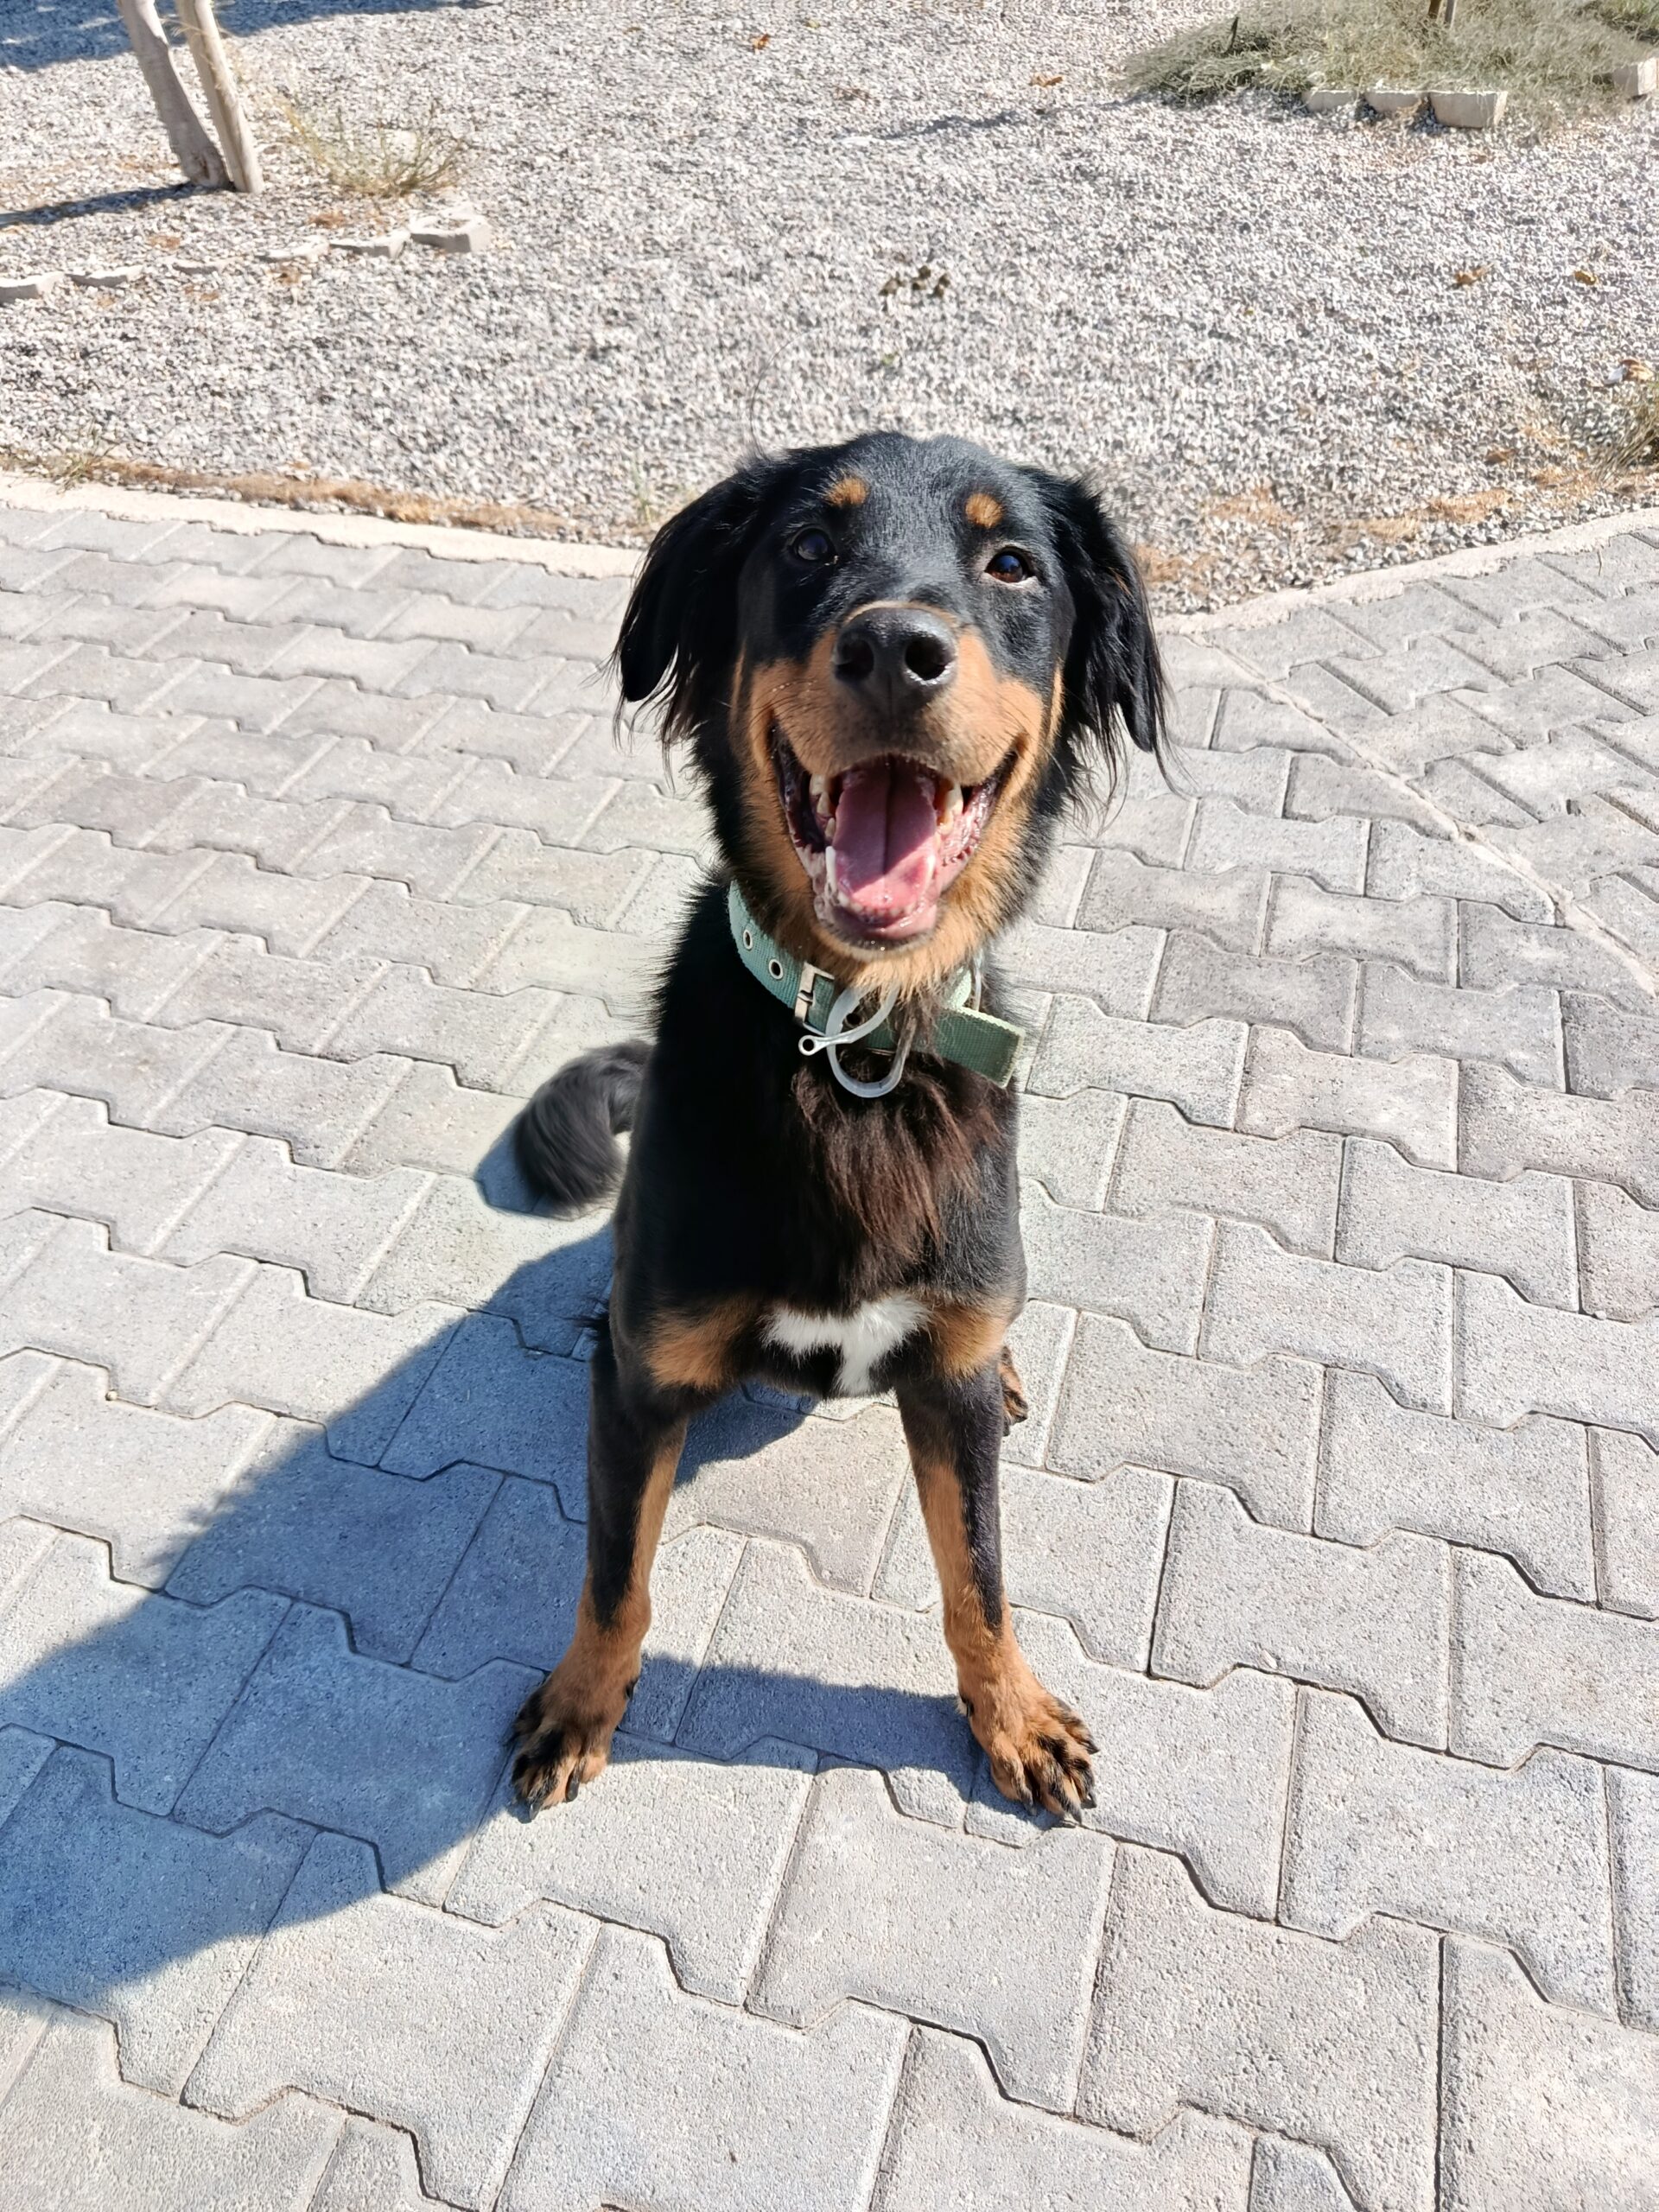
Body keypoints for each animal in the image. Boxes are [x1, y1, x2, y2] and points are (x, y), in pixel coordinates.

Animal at [510, 430, 1165, 1819]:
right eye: (810, 546)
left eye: (1011, 563)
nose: (896, 649)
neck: (855, 1042)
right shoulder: (640, 1390)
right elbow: (614, 1575)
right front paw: (584, 1704)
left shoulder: (950, 1380)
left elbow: (980, 1573)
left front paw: (1012, 1715)